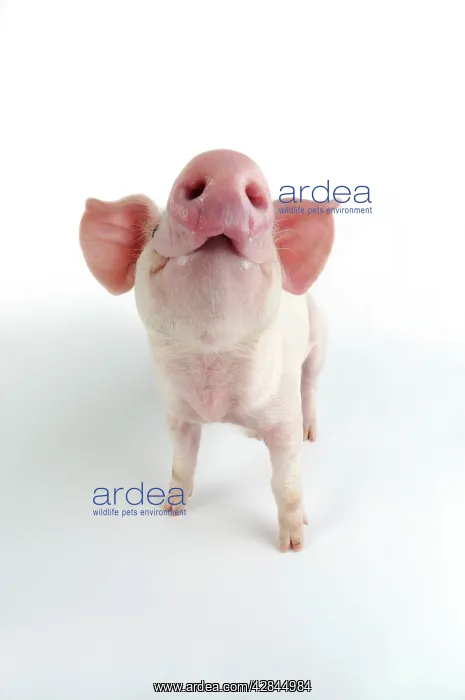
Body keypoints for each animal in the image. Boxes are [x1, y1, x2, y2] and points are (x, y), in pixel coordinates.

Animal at [79, 149, 339, 552]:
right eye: (154, 232)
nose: (224, 160)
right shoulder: (177, 413)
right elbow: (182, 460)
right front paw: (171, 510)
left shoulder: (282, 415)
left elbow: (286, 479)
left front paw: (292, 546)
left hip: (320, 336)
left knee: (310, 382)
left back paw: (310, 432)